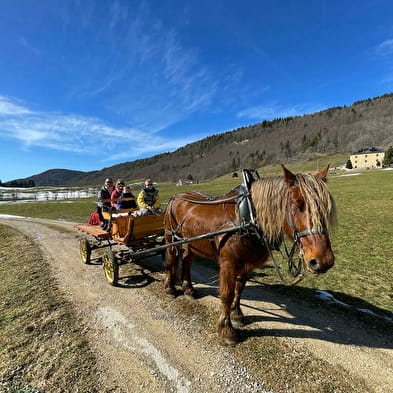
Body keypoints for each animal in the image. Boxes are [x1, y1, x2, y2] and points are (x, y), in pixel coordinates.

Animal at [162, 165, 334, 344]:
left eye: (325, 207)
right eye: (296, 204)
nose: (323, 261)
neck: (247, 217)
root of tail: (177, 196)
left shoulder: (248, 264)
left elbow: (239, 289)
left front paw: (237, 314)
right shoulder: (229, 263)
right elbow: (227, 294)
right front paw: (226, 329)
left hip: (194, 243)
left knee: (186, 260)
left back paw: (188, 289)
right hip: (170, 237)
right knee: (171, 260)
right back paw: (170, 288)